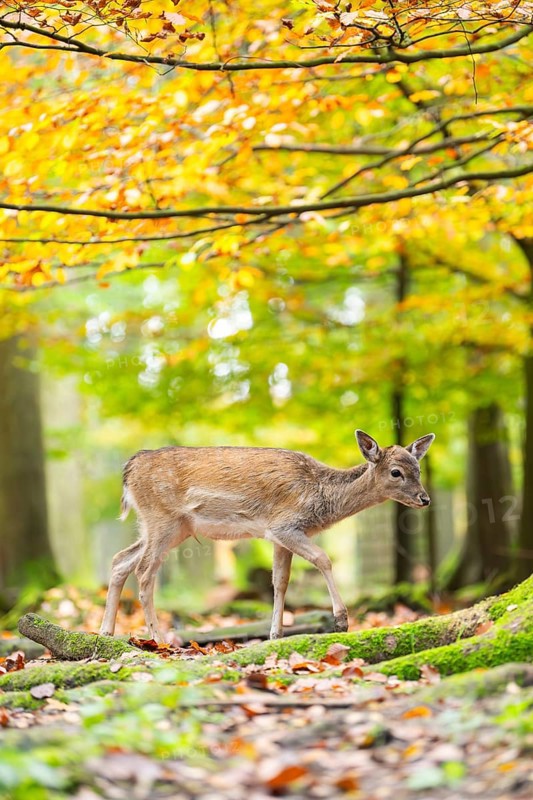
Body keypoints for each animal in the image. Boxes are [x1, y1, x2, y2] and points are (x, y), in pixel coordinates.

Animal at [99, 430, 435, 642]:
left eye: (418, 468)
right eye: (396, 472)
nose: (425, 499)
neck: (321, 498)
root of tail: (129, 470)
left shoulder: (277, 536)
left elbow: (280, 581)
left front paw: (275, 634)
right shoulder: (284, 525)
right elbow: (323, 559)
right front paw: (341, 620)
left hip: (170, 526)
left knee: (120, 560)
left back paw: (106, 631)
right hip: (162, 519)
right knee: (144, 572)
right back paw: (157, 638)